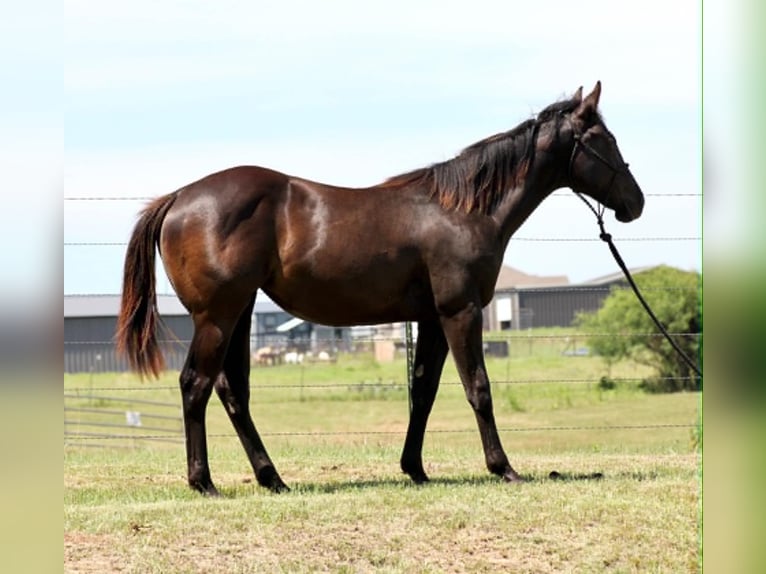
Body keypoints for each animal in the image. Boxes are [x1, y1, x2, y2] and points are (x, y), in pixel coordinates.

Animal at [117, 82, 644, 495]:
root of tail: (179, 198)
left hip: (239, 313)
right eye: (605, 140)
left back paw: (272, 477)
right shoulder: (460, 311)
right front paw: (503, 468)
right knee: (195, 385)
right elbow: (478, 387)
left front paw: (415, 468)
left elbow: (423, 390)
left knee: (232, 391)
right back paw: (204, 482)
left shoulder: (431, 318)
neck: (461, 209)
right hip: (216, 316)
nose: (635, 202)